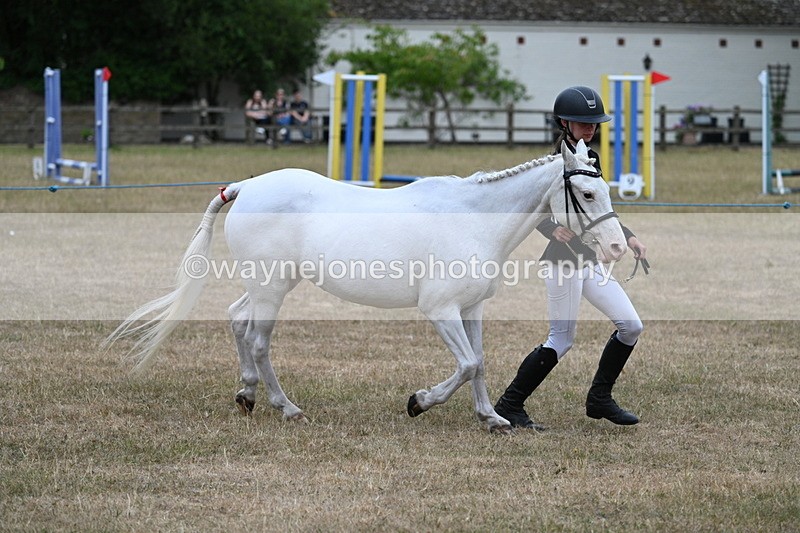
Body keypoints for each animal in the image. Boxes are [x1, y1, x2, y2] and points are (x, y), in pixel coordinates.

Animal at [106, 140, 626, 433]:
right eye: (585, 193)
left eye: (605, 189)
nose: (619, 247)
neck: (473, 219)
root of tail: (246, 187)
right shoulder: (440, 310)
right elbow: (467, 364)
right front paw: (419, 402)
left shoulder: (471, 309)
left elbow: (479, 363)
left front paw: (492, 419)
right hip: (272, 289)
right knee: (257, 341)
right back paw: (287, 408)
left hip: (264, 284)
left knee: (237, 321)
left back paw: (247, 396)